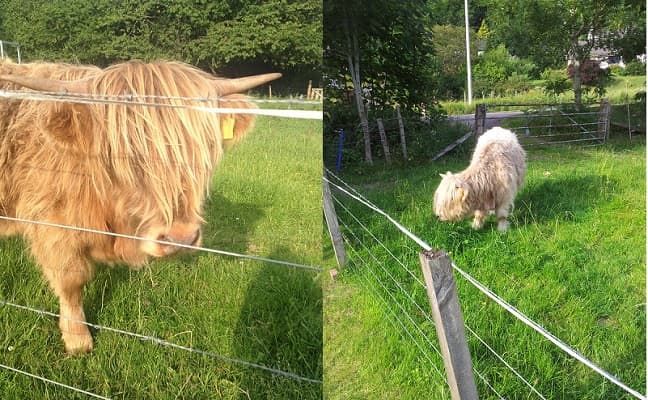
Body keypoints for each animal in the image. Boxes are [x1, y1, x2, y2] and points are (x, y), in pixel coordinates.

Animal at [0, 60, 280, 353]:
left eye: (204, 147)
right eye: (124, 152)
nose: (181, 238)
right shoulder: (52, 225)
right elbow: (72, 282)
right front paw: (78, 339)